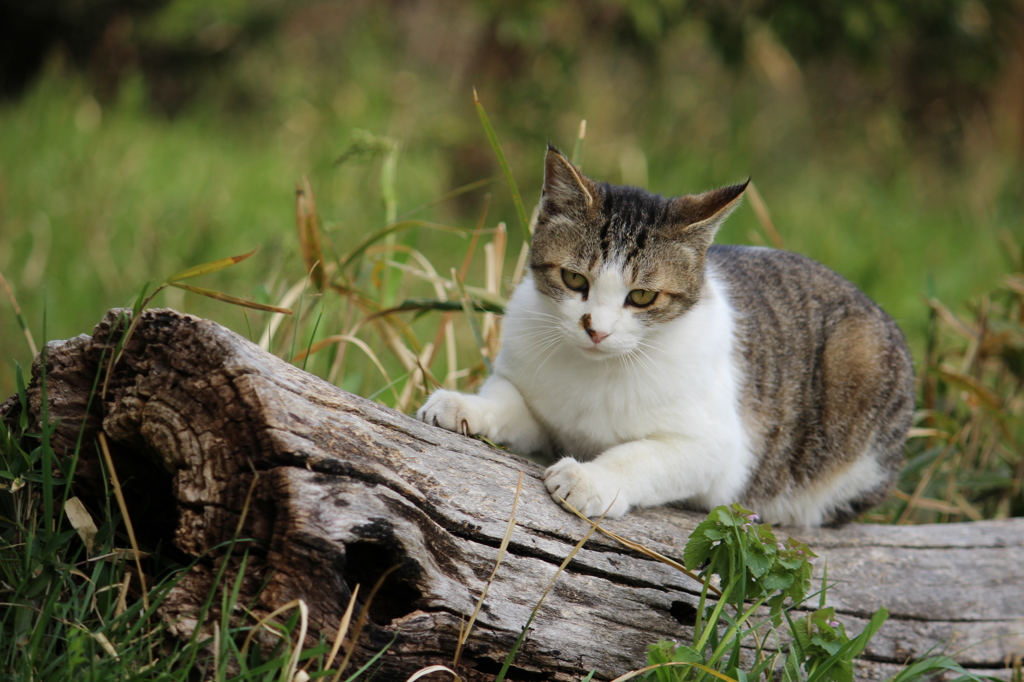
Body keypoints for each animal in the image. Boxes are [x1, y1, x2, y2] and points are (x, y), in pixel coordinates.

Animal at [419, 143, 917, 524]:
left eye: (641, 297)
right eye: (574, 279)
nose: (597, 331)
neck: (595, 372)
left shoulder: (719, 452)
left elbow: (640, 456)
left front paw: (591, 477)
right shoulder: (537, 402)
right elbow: (507, 401)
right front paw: (464, 405)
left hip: (858, 367)